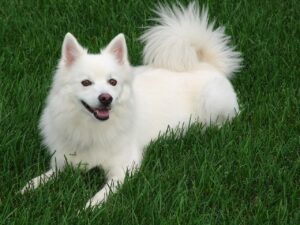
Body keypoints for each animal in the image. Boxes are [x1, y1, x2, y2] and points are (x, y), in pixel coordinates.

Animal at [21, 2, 241, 209]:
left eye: (112, 82)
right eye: (86, 83)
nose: (106, 98)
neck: (93, 128)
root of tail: (208, 65)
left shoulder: (124, 167)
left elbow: (104, 192)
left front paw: (89, 207)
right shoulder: (63, 161)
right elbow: (47, 175)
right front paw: (29, 187)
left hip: (213, 99)